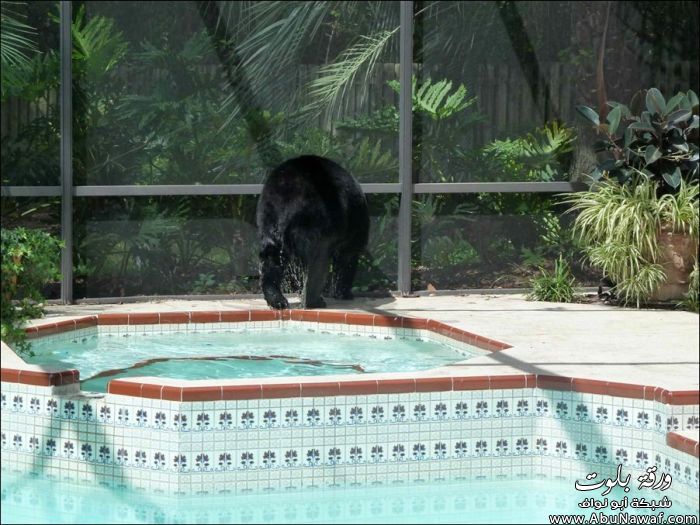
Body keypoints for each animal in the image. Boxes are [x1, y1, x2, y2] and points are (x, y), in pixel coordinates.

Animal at [254, 158, 370, 310]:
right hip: (312, 219)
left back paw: (277, 299)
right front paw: (344, 292)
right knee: (318, 259)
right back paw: (314, 300)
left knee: (271, 257)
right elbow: (347, 259)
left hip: (267, 218)